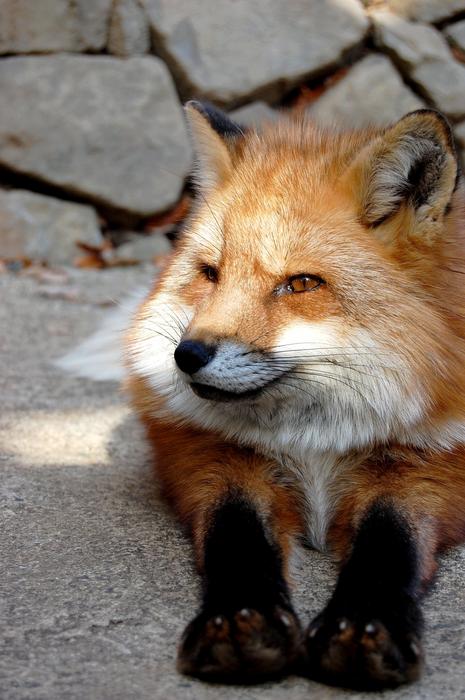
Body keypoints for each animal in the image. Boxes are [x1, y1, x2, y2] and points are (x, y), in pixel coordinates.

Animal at [61, 101, 465, 689]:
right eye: (210, 273)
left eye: (301, 284)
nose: (187, 355)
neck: (314, 442)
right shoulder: (215, 459)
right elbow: (237, 538)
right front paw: (238, 622)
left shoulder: (425, 470)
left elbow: (389, 547)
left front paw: (364, 625)